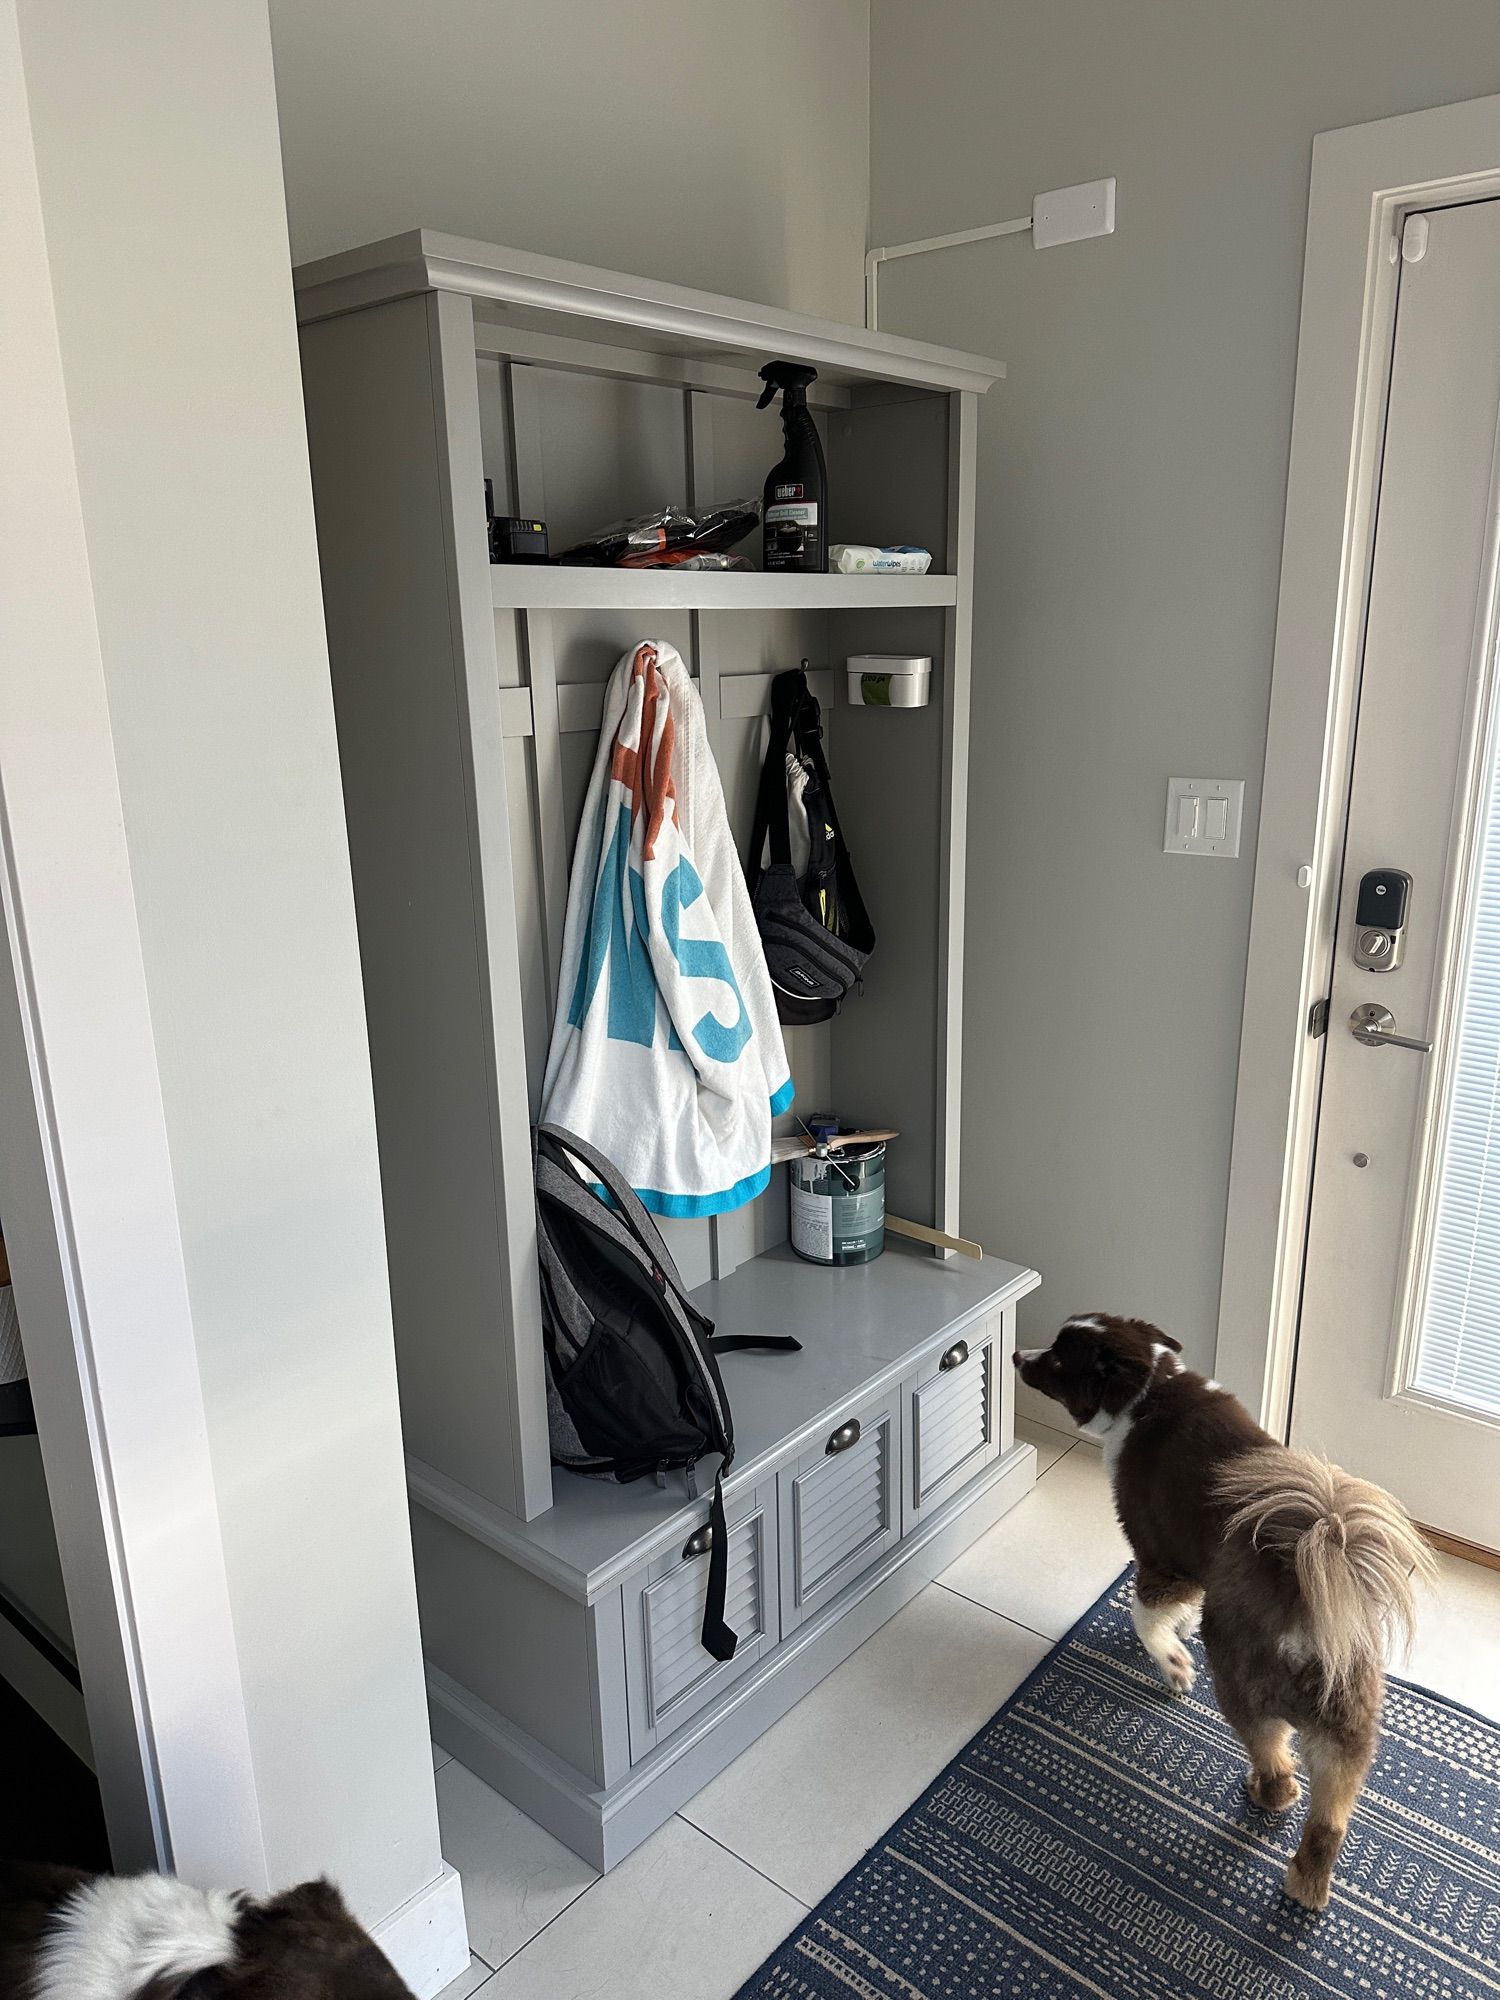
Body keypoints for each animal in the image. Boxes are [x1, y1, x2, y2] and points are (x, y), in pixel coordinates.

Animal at [1016, 1312, 1440, 1904]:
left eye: (1057, 1356)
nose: (1016, 1356)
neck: (1151, 1389)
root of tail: (1306, 1612)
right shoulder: (1194, 1571)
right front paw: (1180, 1632)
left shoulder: (1160, 1558)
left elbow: (1143, 1615)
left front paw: (1173, 1665)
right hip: (1348, 1730)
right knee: (1327, 1818)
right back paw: (1305, 1887)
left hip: (1243, 1688)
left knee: (1280, 1771)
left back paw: (1262, 1794)